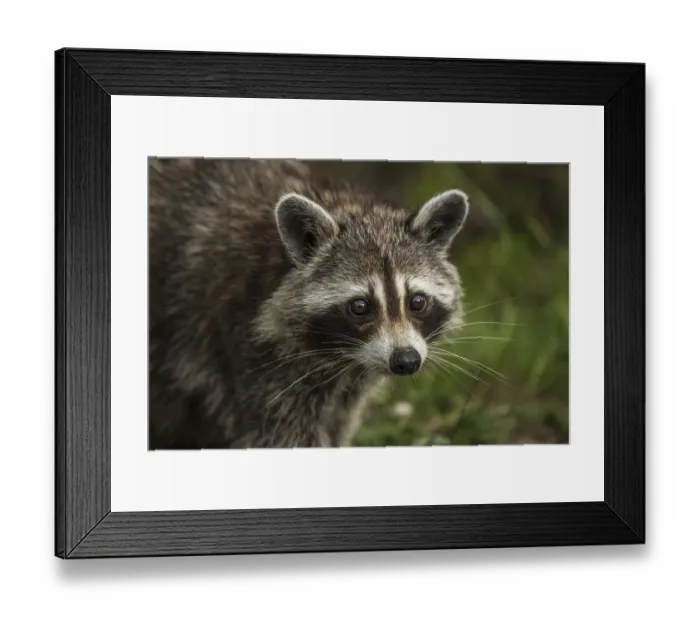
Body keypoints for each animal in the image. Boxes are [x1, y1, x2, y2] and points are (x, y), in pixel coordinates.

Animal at [148, 158, 469, 449]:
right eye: (360, 306)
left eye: (417, 301)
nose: (406, 360)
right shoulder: (248, 345)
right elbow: (283, 437)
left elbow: (338, 424)